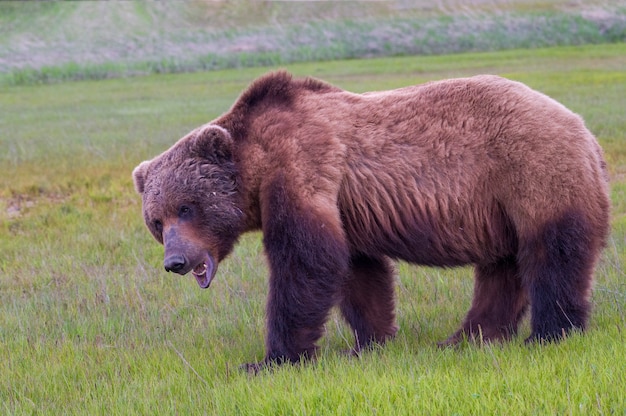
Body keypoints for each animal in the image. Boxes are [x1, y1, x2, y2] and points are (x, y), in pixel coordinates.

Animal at [130, 70, 604, 370]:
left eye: (187, 206)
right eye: (156, 220)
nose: (175, 261)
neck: (256, 164)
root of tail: (583, 127)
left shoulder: (303, 167)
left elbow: (307, 262)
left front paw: (271, 359)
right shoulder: (345, 208)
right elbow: (358, 274)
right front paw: (369, 342)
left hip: (532, 171)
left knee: (551, 254)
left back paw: (548, 334)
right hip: (498, 208)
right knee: (502, 269)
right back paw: (467, 337)